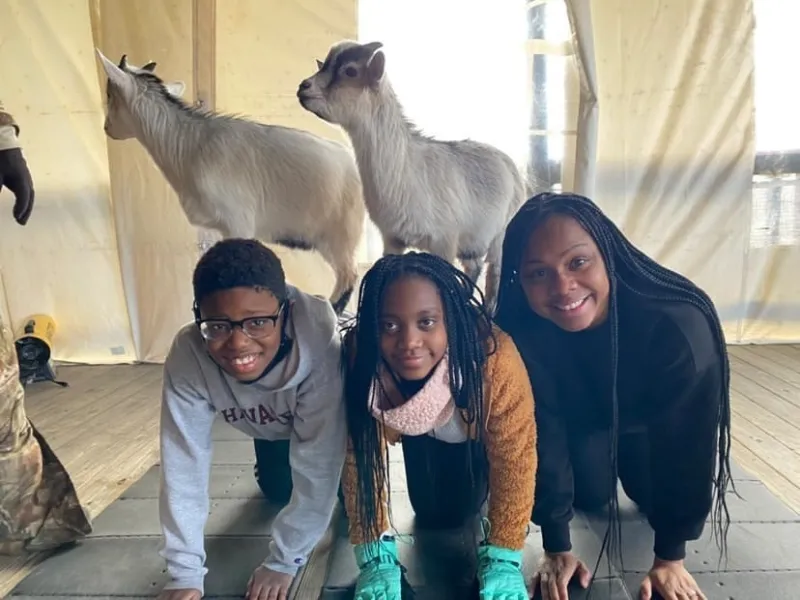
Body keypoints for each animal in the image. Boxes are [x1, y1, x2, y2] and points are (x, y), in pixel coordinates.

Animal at [96, 48, 366, 312]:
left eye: (109, 94)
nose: (106, 127)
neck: (191, 146)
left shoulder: (238, 222)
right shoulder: (218, 227)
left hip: (342, 234)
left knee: (348, 275)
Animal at [296, 41, 532, 314]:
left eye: (350, 71)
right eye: (323, 65)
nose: (303, 87)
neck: (406, 171)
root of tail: (509, 164)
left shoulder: (444, 241)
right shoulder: (392, 238)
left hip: (500, 234)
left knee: (493, 274)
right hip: (472, 243)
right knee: (473, 268)